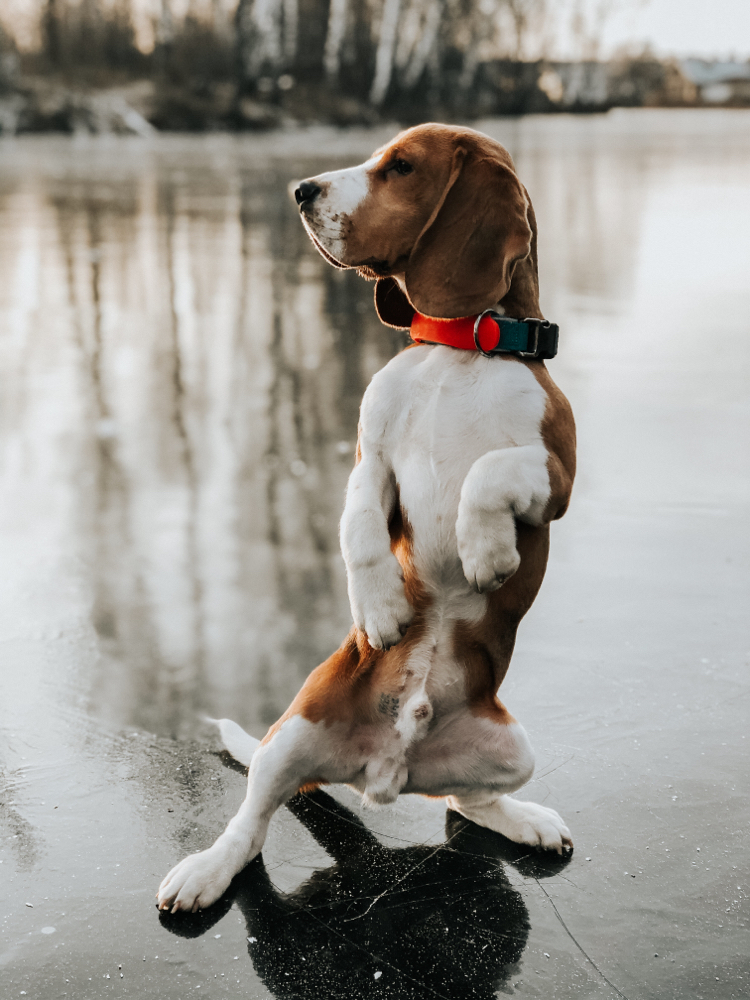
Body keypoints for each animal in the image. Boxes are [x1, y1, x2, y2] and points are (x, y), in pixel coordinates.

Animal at [157, 123, 576, 916]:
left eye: (401, 167)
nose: (301, 190)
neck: (459, 348)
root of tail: (382, 774)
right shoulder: (370, 459)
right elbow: (356, 524)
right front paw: (380, 607)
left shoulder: (556, 474)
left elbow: (489, 470)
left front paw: (486, 553)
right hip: (292, 731)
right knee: (252, 822)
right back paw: (206, 871)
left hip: (514, 751)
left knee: (464, 803)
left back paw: (528, 821)